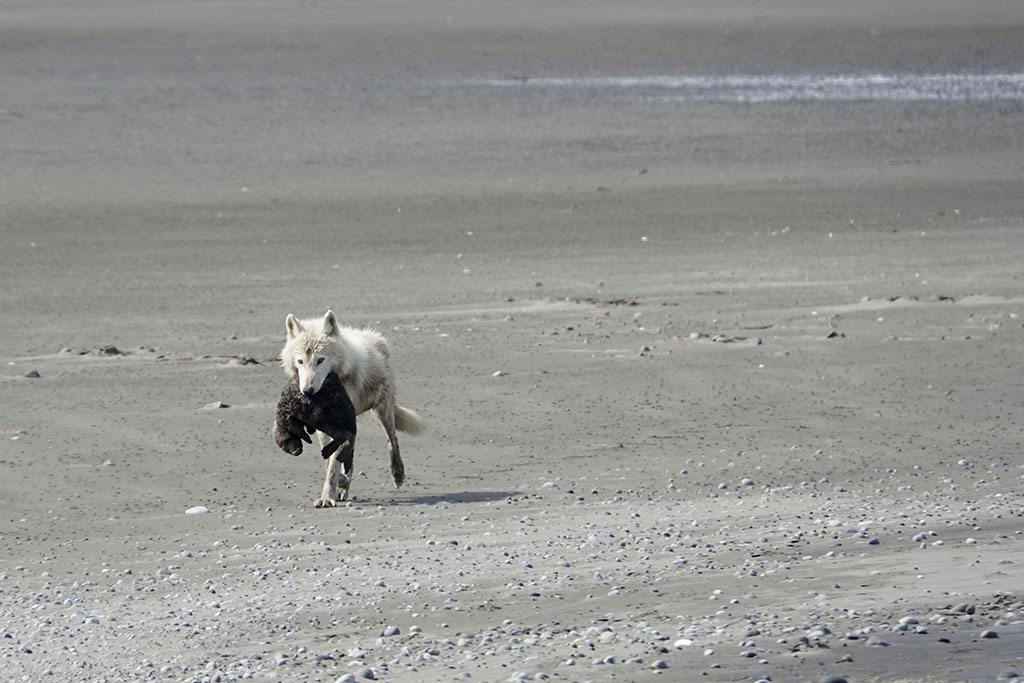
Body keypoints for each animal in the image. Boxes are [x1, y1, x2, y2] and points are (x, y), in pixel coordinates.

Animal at [278, 309, 421, 507]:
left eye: (320, 360)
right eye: (300, 361)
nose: (307, 391)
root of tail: (376, 338)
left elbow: (333, 463)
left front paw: (328, 495)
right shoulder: (325, 427)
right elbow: (331, 460)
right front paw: (338, 485)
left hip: (383, 411)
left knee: (392, 440)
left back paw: (397, 473)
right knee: (351, 455)